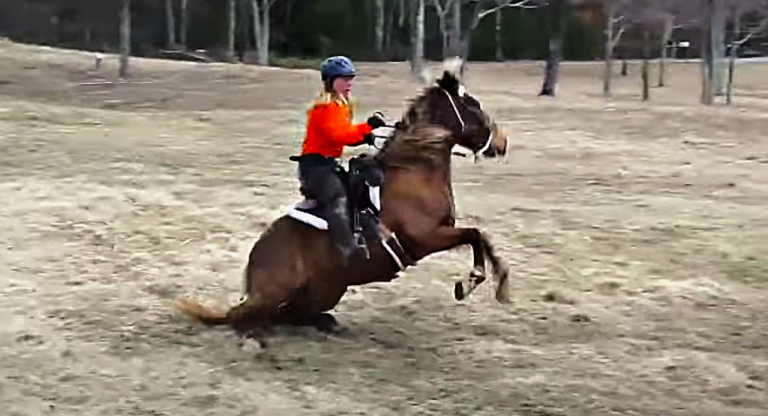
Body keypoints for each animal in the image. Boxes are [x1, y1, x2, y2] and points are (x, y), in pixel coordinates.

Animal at [175, 60, 510, 333]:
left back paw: (324, 323)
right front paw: (473, 282)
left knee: (292, 314)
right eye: (473, 106)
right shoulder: (425, 238)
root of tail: (255, 263)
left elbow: (480, 237)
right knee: (248, 318)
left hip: (328, 290)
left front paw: (491, 284)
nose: (502, 142)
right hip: (278, 294)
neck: (414, 168)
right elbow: (474, 234)